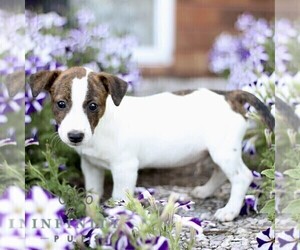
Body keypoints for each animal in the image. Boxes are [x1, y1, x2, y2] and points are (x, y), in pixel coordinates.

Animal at [29, 66, 274, 221]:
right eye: (61, 104)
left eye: (92, 106)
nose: (75, 136)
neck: (102, 126)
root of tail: (230, 95)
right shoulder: (91, 166)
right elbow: (93, 193)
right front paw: (91, 216)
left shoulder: (125, 168)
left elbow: (118, 198)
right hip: (218, 150)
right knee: (222, 172)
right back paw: (204, 191)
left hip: (223, 150)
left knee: (242, 176)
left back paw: (230, 211)